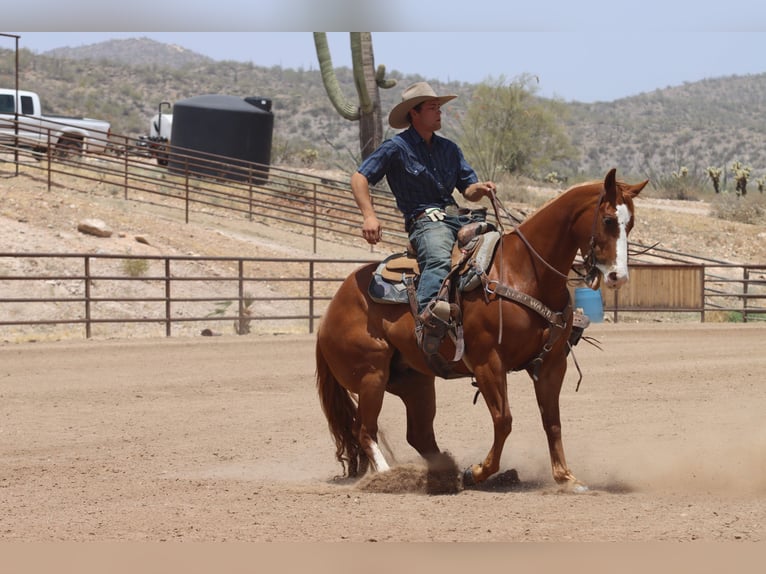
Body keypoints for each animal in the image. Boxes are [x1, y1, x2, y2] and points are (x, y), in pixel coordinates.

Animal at [315, 168, 648, 489]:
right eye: (608, 219)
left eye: (630, 224)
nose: (618, 276)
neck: (524, 272)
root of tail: (329, 314)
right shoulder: (488, 362)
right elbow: (504, 420)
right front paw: (478, 471)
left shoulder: (552, 364)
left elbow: (552, 421)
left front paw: (566, 477)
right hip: (371, 375)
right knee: (365, 430)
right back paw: (390, 476)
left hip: (415, 381)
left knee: (419, 435)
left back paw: (445, 476)